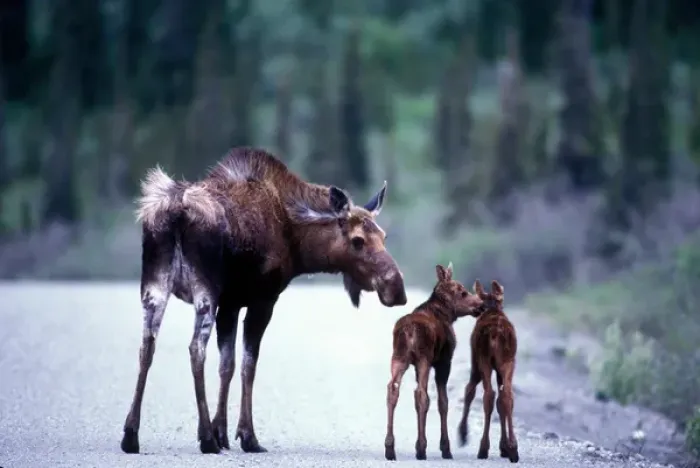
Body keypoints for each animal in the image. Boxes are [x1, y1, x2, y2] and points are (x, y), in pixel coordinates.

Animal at [121, 147, 407, 455]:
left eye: (383, 236)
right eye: (357, 240)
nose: (397, 288)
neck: (298, 245)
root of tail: (175, 210)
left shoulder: (231, 303)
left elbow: (227, 365)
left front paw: (222, 432)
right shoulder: (262, 300)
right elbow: (248, 365)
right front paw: (245, 436)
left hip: (154, 285)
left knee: (147, 347)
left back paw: (131, 433)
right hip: (204, 290)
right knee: (195, 348)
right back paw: (205, 438)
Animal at [384, 262, 485, 461]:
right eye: (462, 292)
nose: (481, 305)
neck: (448, 315)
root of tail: (408, 331)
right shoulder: (444, 362)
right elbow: (443, 402)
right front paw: (446, 448)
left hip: (398, 357)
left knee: (392, 389)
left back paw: (390, 448)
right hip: (423, 358)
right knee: (421, 394)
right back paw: (421, 448)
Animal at [457, 279, 519, 463]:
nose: (476, 311)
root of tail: (495, 333)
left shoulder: (475, 361)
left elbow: (469, 390)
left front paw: (463, 434)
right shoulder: (499, 368)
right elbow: (501, 402)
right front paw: (504, 447)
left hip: (483, 359)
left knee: (488, 395)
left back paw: (483, 447)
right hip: (507, 361)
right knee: (506, 395)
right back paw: (513, 448)